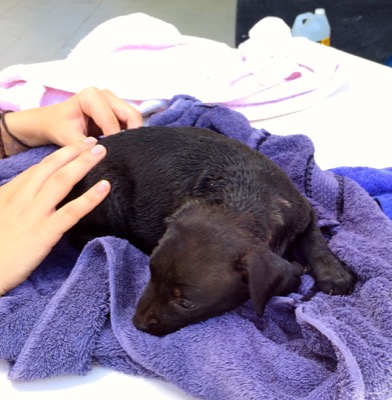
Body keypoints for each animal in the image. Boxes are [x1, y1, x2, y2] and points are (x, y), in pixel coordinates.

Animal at [65, 126, 356, 336]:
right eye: (150, 275)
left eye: (186, 304)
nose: (137, 324)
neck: (244, 203)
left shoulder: (301, 209)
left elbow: (314, 238)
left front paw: (334, 273)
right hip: (107, 191)